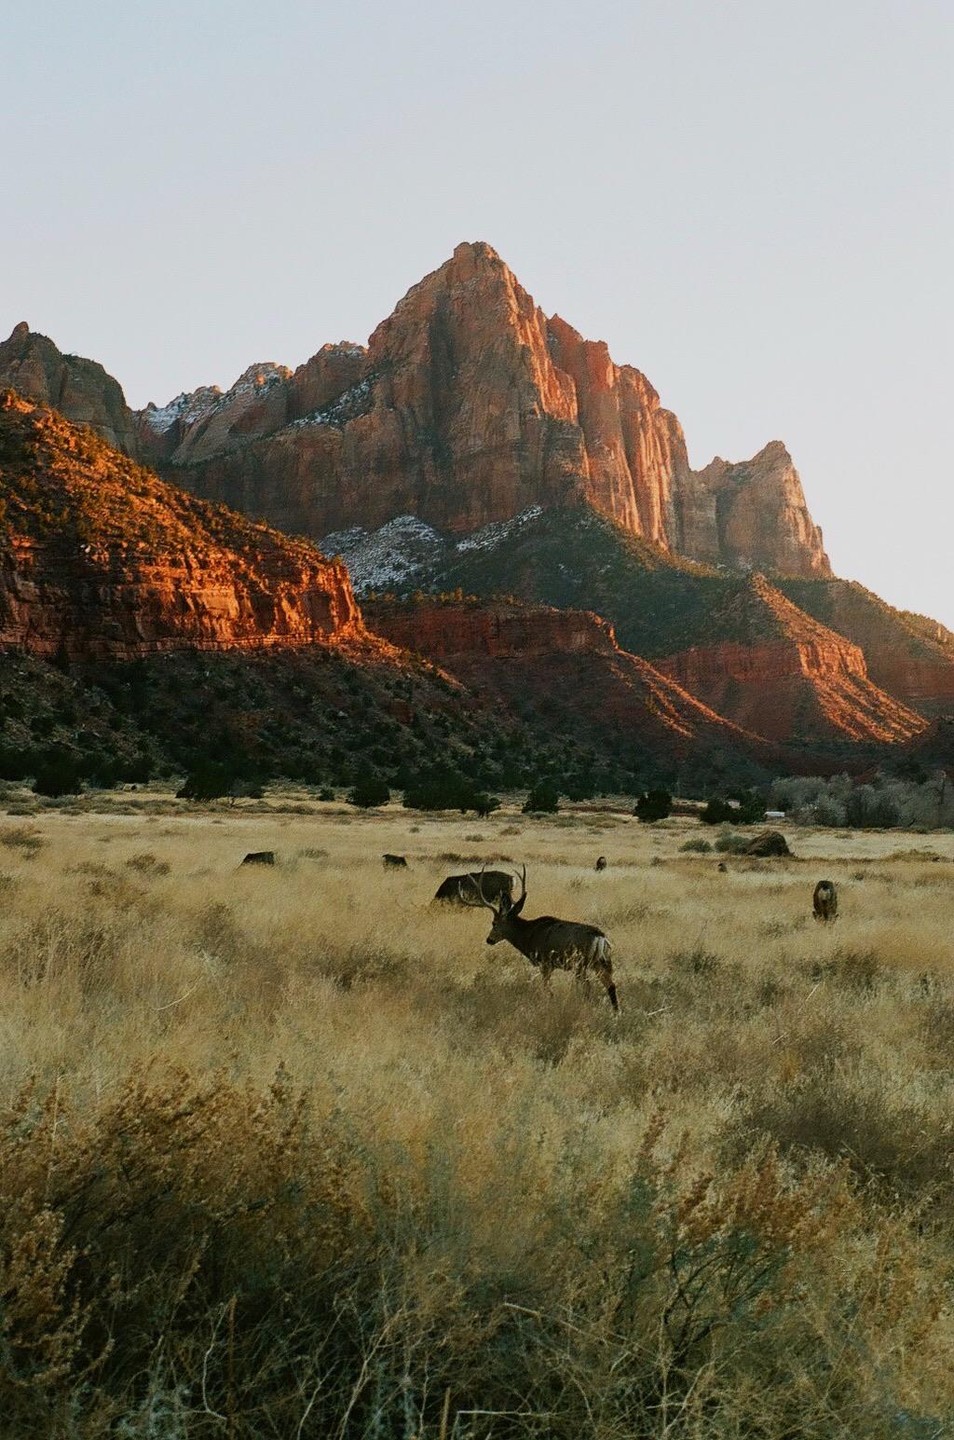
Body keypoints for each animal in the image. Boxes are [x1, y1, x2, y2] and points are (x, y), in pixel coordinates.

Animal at [463, 865, 619, 1012]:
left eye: (494, 923)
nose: (489, 940)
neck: (528, 934)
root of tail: (600, 937)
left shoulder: (545, 962)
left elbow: (547, 989)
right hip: (601, 962)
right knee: (611, 985)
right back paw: (616, 1013)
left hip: (580, 962)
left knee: (588, 987)